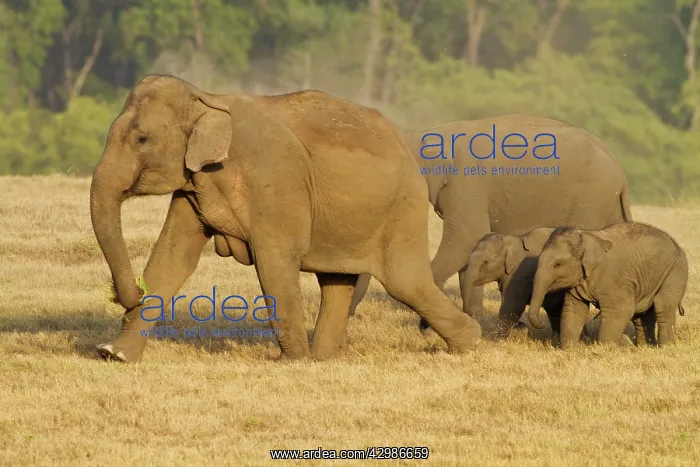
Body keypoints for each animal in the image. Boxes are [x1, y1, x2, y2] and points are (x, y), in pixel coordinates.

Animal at [90, 74, 482, 363]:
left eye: (142, 139)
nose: (130, 293)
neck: (207, 98)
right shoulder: (194, 184)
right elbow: (173, 258)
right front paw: (115, 354)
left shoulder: (274, 178)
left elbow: (275, 260)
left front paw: (290, 362)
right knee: (338, 280)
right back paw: (324, 359)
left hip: (402, 207)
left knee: (405, 282)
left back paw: (471, 343)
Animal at [349, 115, 633, 335]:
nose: (352, 315)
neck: (421, 134)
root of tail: (620, 170)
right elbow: (469, 250)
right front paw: (472, 319)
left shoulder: (466, 185)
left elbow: (463, 240)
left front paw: (427, 325)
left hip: (590, 202)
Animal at [528, 222, 688, 348]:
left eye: (557, 264)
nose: (541, 324)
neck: (589, 236)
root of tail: (678, 246)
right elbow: (574, 309)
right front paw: (570, 349)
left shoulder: (615, 278)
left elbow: (621, 309)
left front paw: (606, 349)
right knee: (641, 313)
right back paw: (644, 346)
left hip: (675, 273)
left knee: (662, 305)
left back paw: (665, 346)